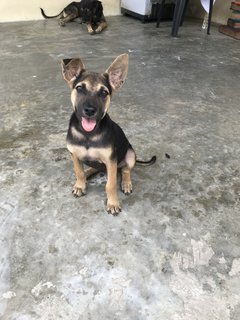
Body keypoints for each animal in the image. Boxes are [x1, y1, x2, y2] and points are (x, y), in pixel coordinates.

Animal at [61, 54, 157, 215]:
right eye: (79, 88)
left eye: (104, 92)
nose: (90, 110)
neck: (88, 134)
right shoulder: (74, 154)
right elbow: (78, 172)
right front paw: (80, 185)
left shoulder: (111, 160)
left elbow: (110, 185)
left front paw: (113, 203)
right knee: (92, 168)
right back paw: (87, 173)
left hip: (130, 154)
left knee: (125, 170)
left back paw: (126, 183)